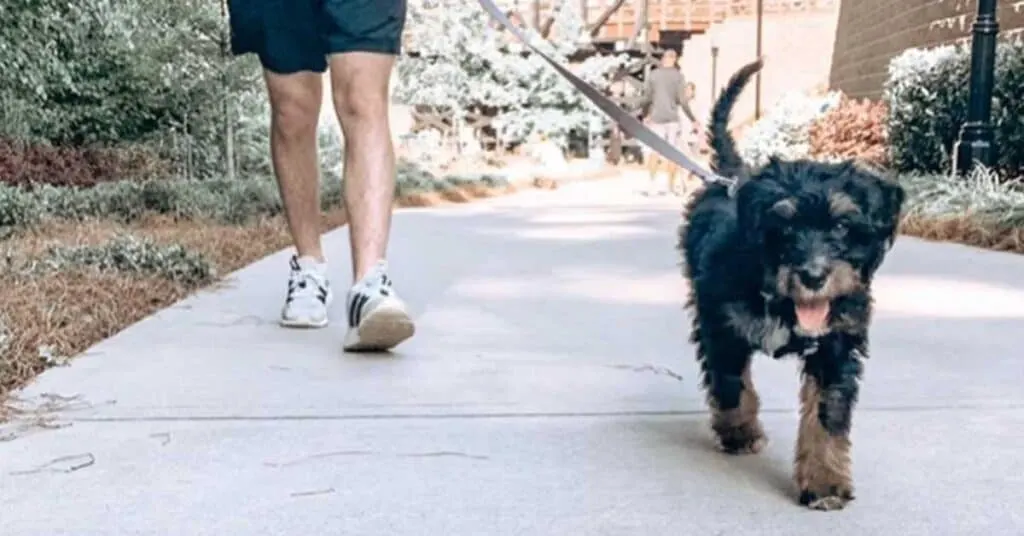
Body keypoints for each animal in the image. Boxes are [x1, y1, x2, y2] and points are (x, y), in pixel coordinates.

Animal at [679, 59, 905, 512]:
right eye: (784, 227)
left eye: (842, 225)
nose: (814, 276)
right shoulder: (721, 323)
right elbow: (730, 382)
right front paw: (739, 432)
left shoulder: (837, 343)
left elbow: (827, 413)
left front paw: (825, 482)